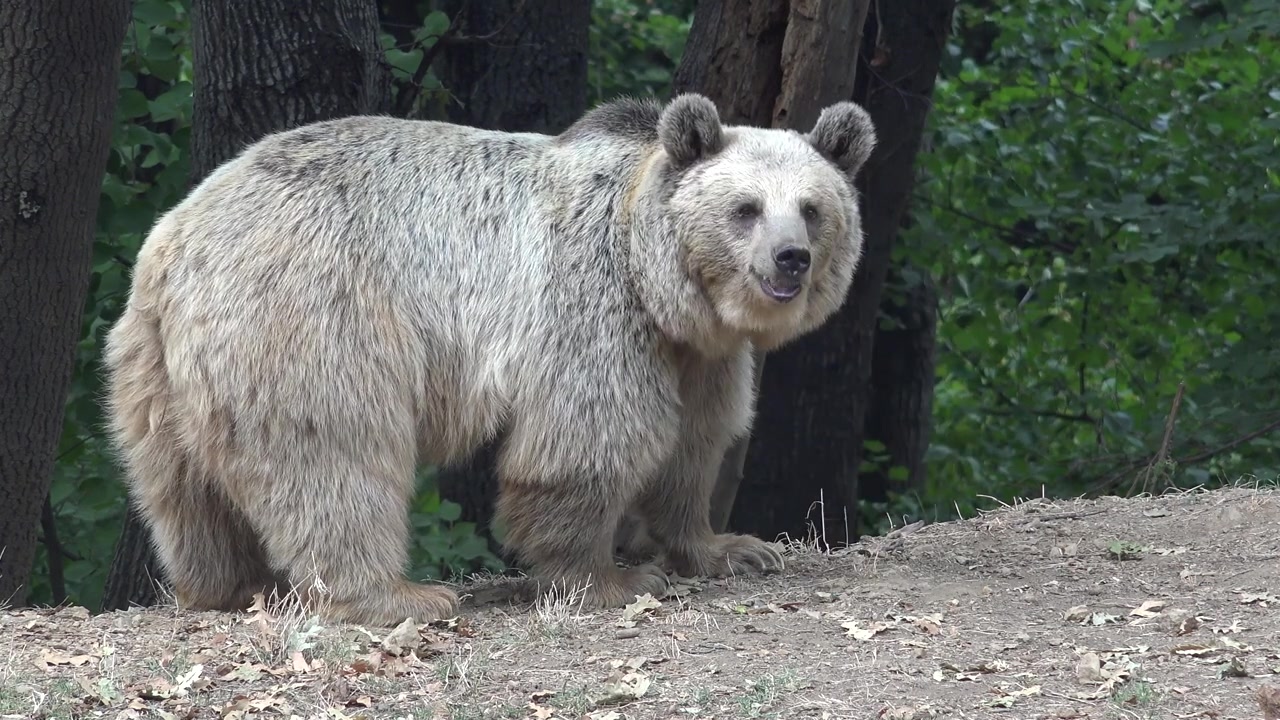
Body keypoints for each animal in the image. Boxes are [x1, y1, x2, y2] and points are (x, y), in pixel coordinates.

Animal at [101, 92, 876, 627]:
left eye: (812, 208)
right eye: (746, 208)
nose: (790, 259)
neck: (663, 282)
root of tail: (179, 240)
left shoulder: (700, 354)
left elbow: (695, 444)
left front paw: (731, 547)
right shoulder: (590, 302)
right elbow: (588, 441)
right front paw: (612, 579)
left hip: (151, 368)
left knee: (183, 484)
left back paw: (231, 583)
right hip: (315, 316)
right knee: (336, 453)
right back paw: (399, 594)